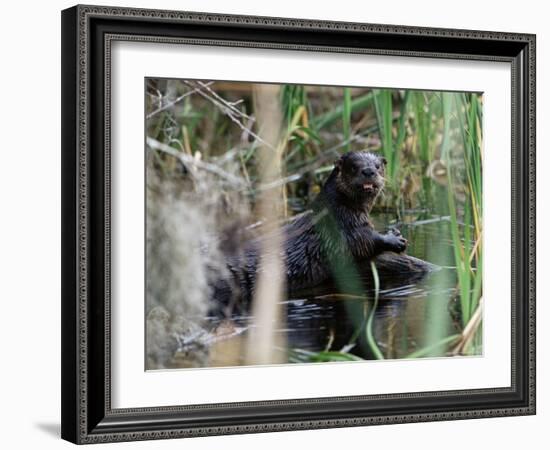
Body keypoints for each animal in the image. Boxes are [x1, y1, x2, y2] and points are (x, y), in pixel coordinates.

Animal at [213, 152, 408, 316]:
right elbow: (364, 241)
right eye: (354, 167)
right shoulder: (343, 231)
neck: (336, 211)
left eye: (378, 166)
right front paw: (394, 239)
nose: (368, 171)